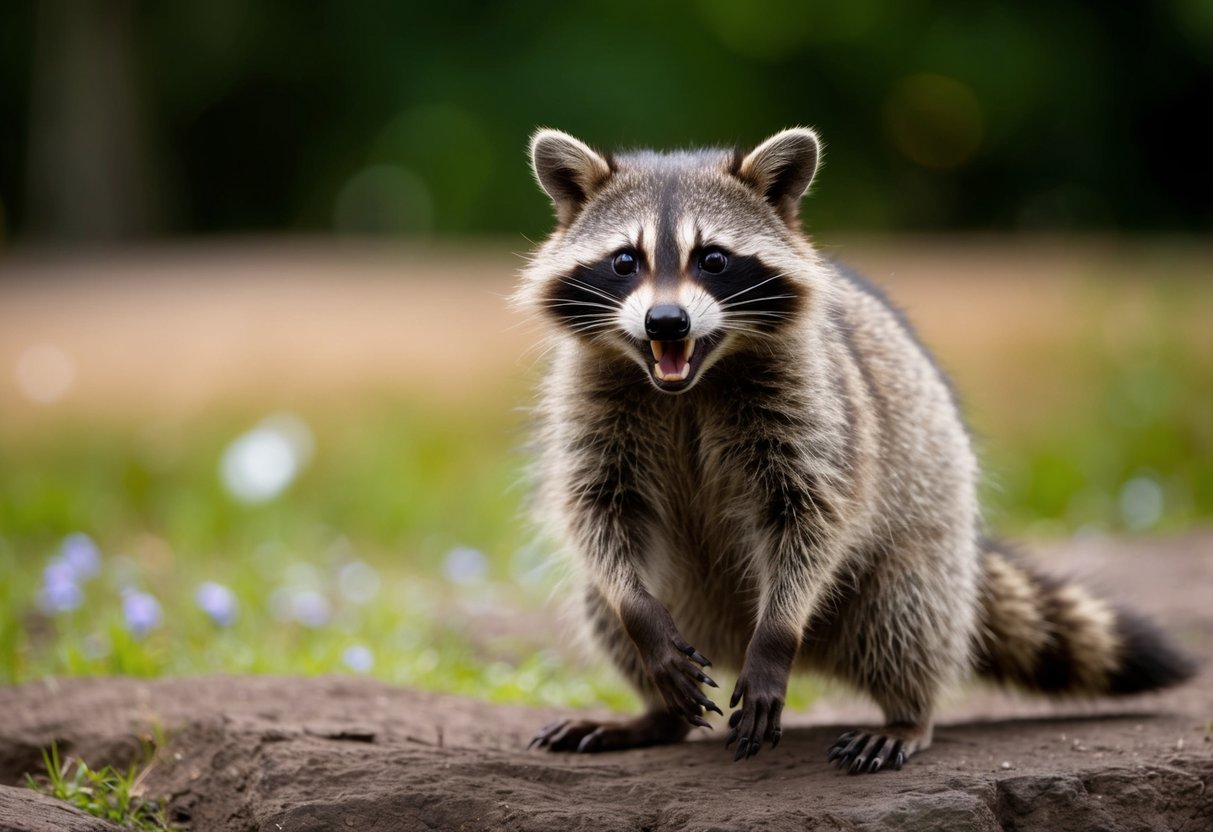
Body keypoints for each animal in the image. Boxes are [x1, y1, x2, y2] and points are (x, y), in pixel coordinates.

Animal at [517, 127, 1195, 773]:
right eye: (624, 261)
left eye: (712, 259)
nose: (665, 322)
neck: (691, 382)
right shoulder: (591, 402)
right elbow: (600, 511)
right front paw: (641, 620)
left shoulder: (818, 406)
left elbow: (811, 514)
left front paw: (779, 633)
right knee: (599, 601)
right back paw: (655, 714)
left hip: (922, 557)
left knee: (906, 615)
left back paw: (907, 714)